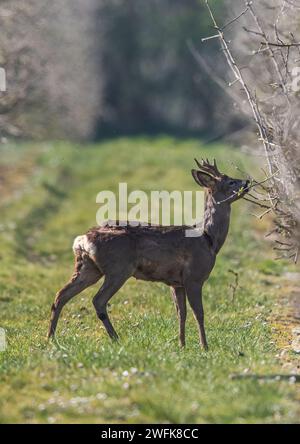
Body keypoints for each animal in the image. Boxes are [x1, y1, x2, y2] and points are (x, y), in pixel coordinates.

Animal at [47, 160, 248, 350]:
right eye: (230, 181)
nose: (247, 182)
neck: (208, 239)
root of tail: (82, 240)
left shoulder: (176, 282)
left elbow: (181, 313)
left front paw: (182, 344)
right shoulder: (194, 277)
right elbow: (199, 312)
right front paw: (204, 346)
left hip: (88, 268)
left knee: (61, 294)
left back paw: (51, 338)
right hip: (118, 268)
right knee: (98, 300)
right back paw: (115, 338)